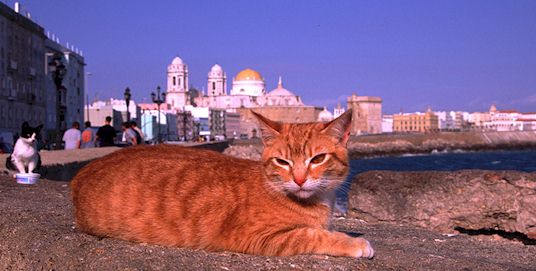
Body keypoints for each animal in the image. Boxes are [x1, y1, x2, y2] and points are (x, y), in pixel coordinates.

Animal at [70, 110, 372, 260]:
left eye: (318, 158)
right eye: (282, 162)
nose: (299, 179)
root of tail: (81, 173)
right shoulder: (258, 236)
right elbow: (311, 235)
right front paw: (354, 242)